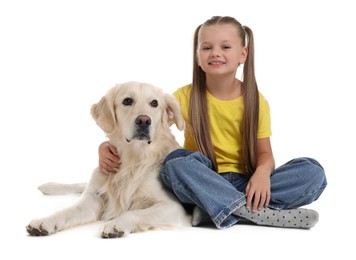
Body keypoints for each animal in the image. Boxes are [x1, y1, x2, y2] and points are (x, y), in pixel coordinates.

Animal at [25, 81, 192, 238]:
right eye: (127, 101)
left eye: (154, 103)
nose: (144, 120)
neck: (133, 158)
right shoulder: (93, 199)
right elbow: (67, 211)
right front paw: (44, 222)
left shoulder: (175, 207)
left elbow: (134, 213)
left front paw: (116, 224)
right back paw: (48, 186)